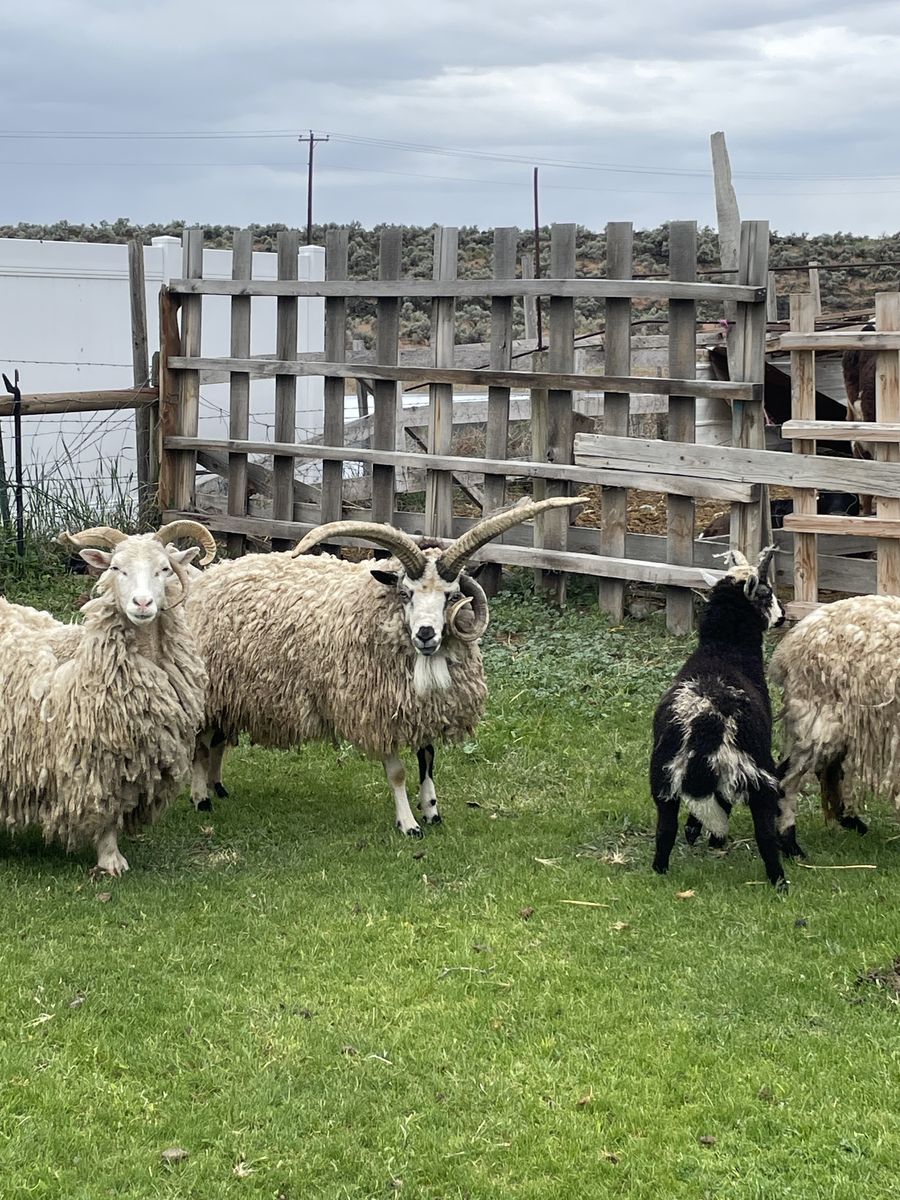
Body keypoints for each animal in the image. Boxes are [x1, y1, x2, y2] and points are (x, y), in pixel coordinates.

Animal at [2, 520, 215, 874]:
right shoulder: (95, 762)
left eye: (164, 568)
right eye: (116, 568)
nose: (142, 604)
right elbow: (104, 808)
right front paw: (110, 859)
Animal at [183, 497, 582, 836]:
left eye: (451, 595)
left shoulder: (421, 708)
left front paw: (432, 810)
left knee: (217, 739)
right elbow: (398, 773)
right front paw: (409, 824)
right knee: (201, 743)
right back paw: (201, 797)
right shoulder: (376, 712)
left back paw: (218, 787)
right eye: (405, 593)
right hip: (210, 689)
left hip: (233, 693)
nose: (425, 634)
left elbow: (427, 759)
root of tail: (215, 573)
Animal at [650, 546, 791, 887]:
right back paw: (779, 881)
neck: (723, 651)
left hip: (663, 774)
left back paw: (660, 869)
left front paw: (701, 832)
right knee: (765, 832)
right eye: (766, 593)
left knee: (665, 829)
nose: (784, 614)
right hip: (757, 772)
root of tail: (706, 723)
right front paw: (715, 838)